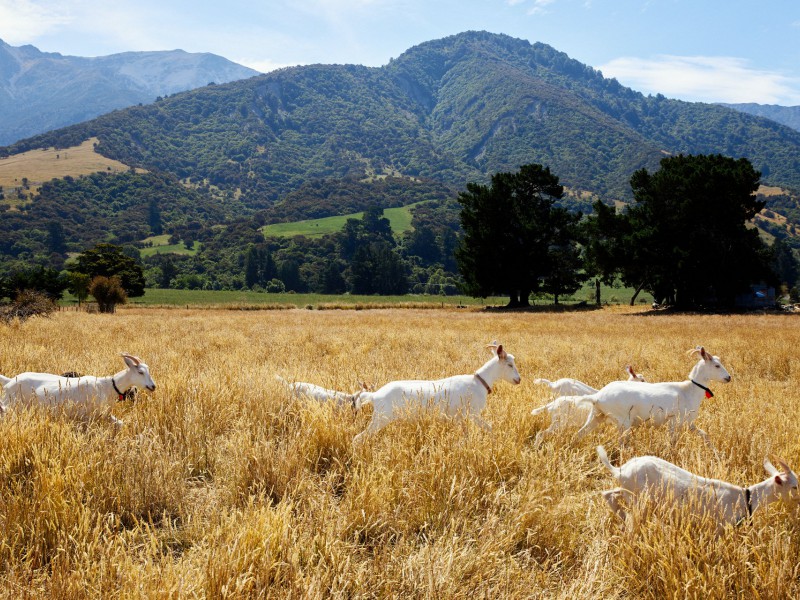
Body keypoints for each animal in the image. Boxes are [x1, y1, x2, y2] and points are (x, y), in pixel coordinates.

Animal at [0, 352, 156, 426]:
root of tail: (9, 381)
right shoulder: (87, 417)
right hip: (11, 404)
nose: (153, 386)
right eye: (140, 372)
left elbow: (121, 424)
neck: (106, 386)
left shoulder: (102, 415)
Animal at [354, 342, 520, 446]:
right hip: (381, 418)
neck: (479, 382)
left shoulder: (461, 417)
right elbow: (490, 428)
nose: (518, 379)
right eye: (510, 364)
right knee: (358, 438)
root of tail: (375, 395)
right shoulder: (474, 414)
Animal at [576, 350, 732, 442]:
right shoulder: (673, 422)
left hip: (596, 416)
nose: (728, 378)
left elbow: (704, 435)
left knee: (579, 433)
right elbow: (672, 442)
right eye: (717, 365)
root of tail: (597, 397)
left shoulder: (689, 423)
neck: (689, 390)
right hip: (623, 422)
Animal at [596, 446, 796, 528]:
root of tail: (619, 470)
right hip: (638, 499)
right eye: (794, 486)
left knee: (608, 494)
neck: (746, 497)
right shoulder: (720, 526)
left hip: (628, 491)